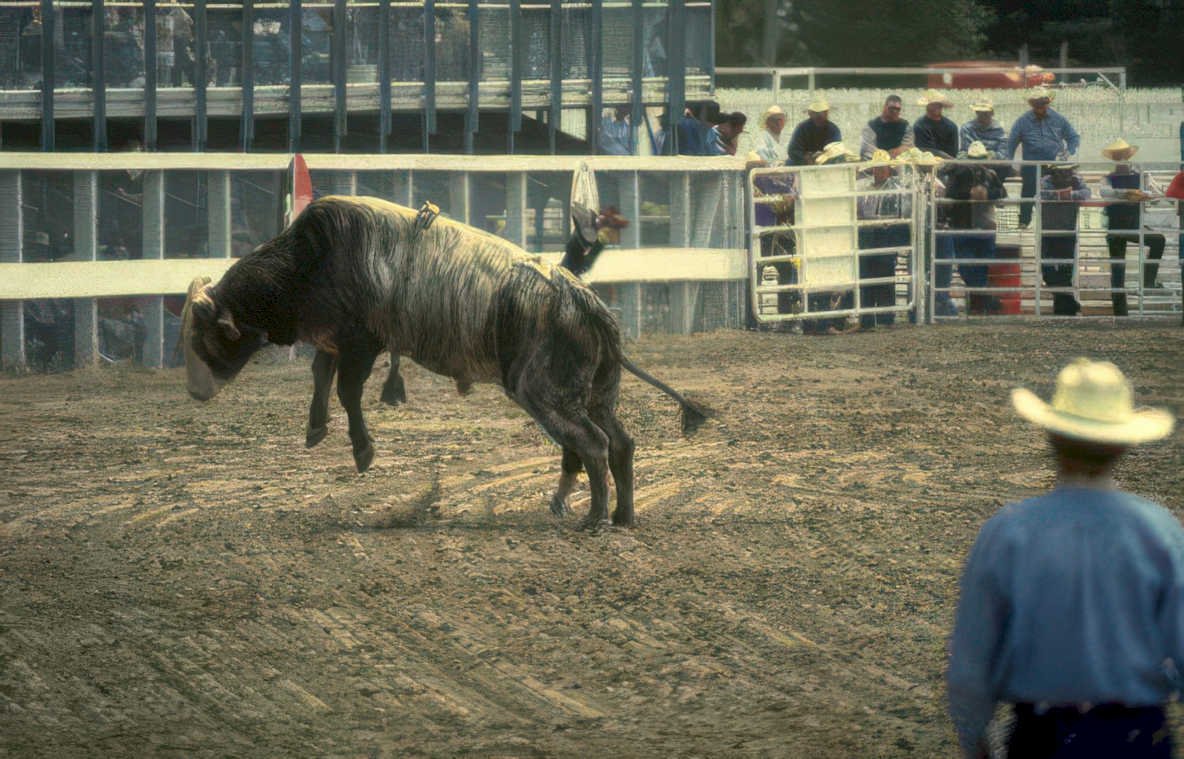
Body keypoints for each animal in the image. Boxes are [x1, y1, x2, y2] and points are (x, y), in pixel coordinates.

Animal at [183, 196, 706, 528]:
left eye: (204, 334)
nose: (194, 391)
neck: (307, 260)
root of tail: (584, 301)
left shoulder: (361, 342)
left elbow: (347, 390)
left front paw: (363, 451)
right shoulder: (335, 341)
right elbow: (321, 376)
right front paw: (315, 429)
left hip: (544, 393)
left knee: (592, 445)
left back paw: (595, 519)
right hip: (595, 393)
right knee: (620, 443)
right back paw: (621, 516)